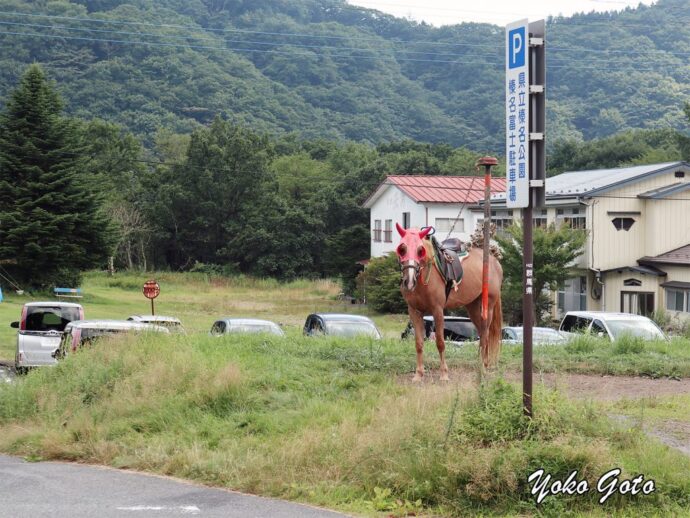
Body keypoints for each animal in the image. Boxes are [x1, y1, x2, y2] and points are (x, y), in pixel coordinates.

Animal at [396, 223, 502, 382]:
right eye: (402, 249)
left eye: (420, 250)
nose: (409, 281)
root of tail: (494, 261)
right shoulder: (414, 311)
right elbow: (419, 343)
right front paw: (418, 374)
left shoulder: (438, 310)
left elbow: (440, 342)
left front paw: (444, 374)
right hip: (473, 307)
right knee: (483, 335)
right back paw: (482, 364)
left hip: (487, 307)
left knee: (485, 335)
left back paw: (483, 369)